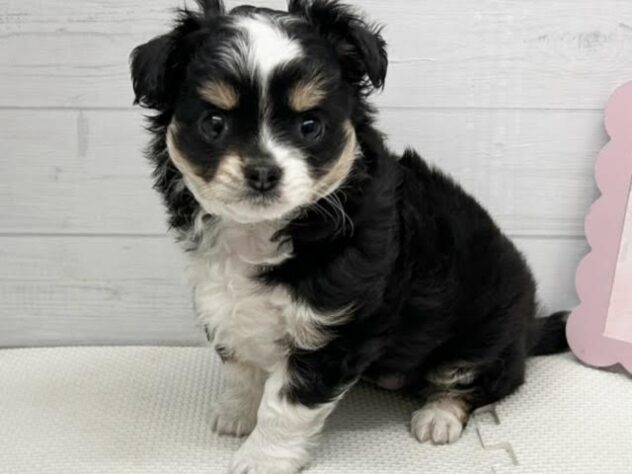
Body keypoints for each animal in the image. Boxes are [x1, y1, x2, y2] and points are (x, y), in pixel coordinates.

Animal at [130, 1, 569, 472]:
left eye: (310, 126)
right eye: (214, 124)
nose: (263, 172)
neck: (261, 231)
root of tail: (530, 327)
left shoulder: (332, 329)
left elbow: (286, 404)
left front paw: (263, 457)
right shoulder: (227, 306)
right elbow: (240, 368)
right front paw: (236, 413)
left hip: (486, 336)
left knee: (479, 381)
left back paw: (439, 415)